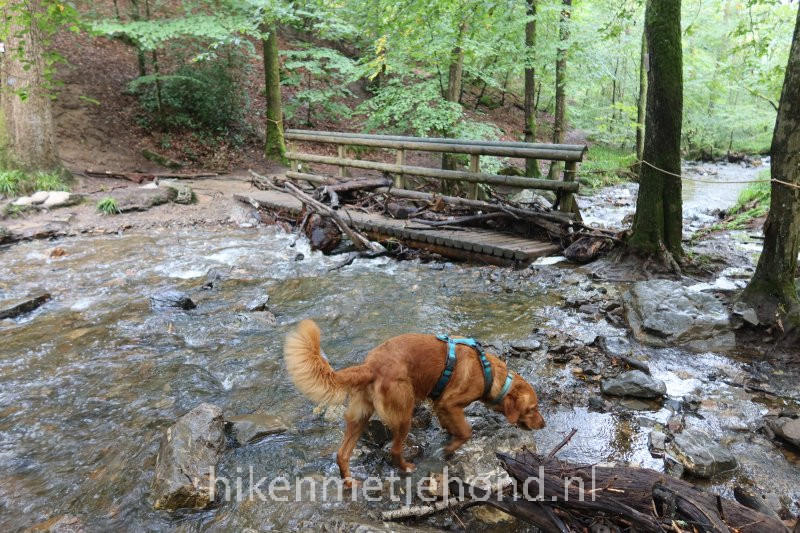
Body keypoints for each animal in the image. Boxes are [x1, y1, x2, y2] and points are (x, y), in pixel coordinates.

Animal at [284, 318, 548, 484]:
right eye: (533, 408)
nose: (544, 424)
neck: (489, 374)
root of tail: (370, 366)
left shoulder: (441, 407)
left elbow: (452, 428)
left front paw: (449, 440)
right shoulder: (449, 403)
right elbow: (466, 431)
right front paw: (449, 449)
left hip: (359, 417)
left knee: (342, 454)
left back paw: (350, 484)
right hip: (403, 414)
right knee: (394, 450)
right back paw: (406, 468)